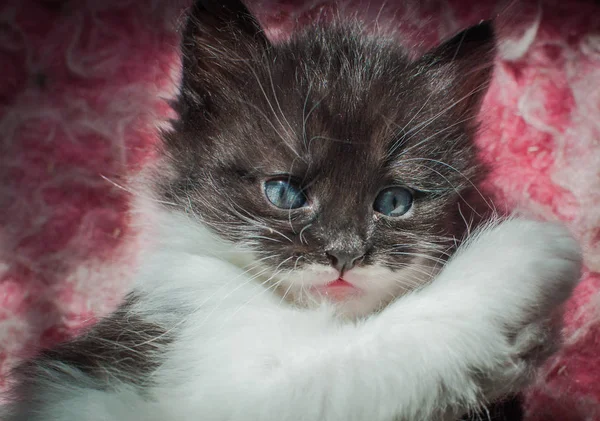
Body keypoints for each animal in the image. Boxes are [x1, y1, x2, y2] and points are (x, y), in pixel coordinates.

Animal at [0, 0, 580, 420]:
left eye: (394, 202)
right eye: (284, 192)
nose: (345, 254)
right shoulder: (223, 381)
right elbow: (369, 351)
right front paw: (523, 257)